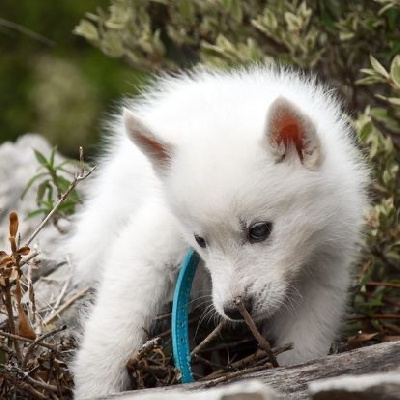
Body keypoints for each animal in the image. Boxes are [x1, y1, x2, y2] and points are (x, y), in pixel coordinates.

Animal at [67, 67, 368, 398]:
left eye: (259, 231)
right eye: (200, 241)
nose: (236, 310)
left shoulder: (321, 275)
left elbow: (305, 346)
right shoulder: (147, 247)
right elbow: (114, 325)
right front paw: (98, 386)